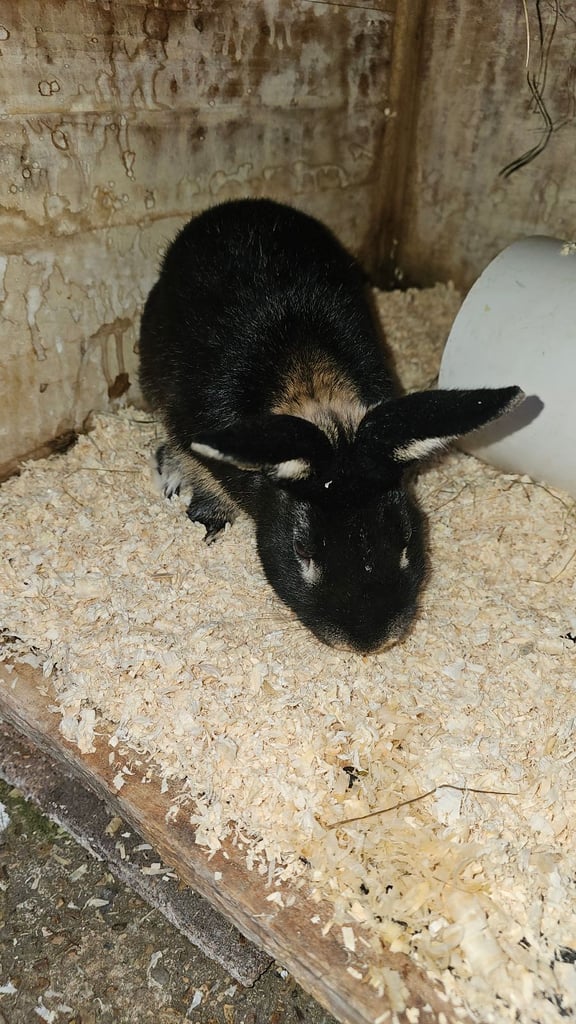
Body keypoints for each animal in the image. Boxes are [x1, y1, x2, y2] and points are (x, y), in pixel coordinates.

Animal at [139, 197, 524, 653]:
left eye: (406, 536)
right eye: (301, 548)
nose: (369, 641)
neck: (312, 388)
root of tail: (242, 204)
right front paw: (207, 517)